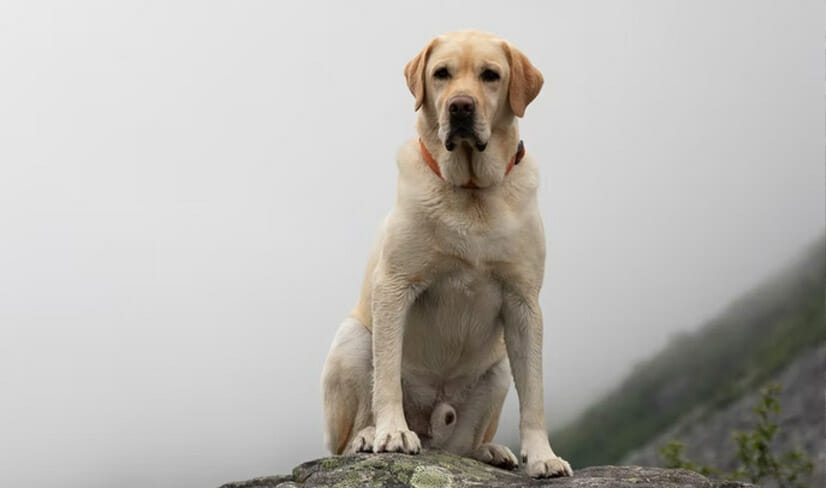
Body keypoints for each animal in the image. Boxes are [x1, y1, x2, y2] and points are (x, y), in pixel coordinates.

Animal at [318, 29, 568, 476]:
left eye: (490, 75)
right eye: (441, 74)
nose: (460, 107)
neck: (470, 192)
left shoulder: (524, 304)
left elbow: (535, 395)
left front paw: (543, 457)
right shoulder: (394, 286)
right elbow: (386, 378)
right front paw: (392, 432)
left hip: (497, 371)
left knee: (463, 446)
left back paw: (489, 451)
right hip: (353, 339)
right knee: (345, 440)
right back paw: (368, 435)